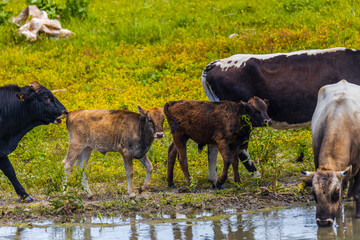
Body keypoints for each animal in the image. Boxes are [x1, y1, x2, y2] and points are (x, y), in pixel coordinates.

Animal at [300, 80, 360, 227]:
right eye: (314, 194)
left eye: (335, 193)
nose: (323, 222)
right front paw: (338, 216)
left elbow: (357, 193)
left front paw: (357, 215)